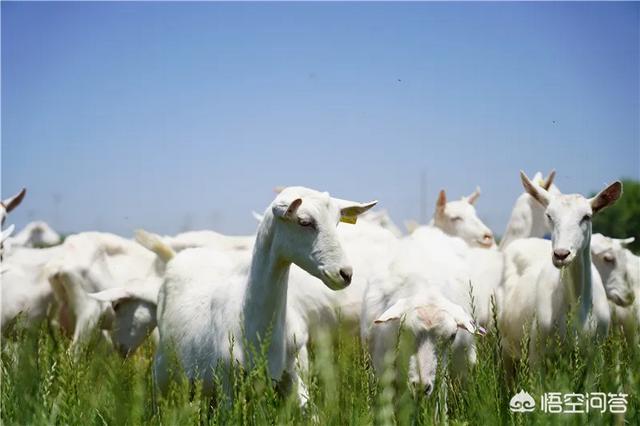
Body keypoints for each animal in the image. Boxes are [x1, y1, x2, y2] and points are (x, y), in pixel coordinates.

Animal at [153, 186, 378, 400]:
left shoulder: (294, 375)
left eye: (337, 222)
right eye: (304, 222)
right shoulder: (227, 383)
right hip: (162, 373)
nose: (345, 273)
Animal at [500, 171, 620, 362]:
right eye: (549, 215)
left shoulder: (596, 354)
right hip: (506, 346)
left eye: (587, 216)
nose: (561, 254)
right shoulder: (537, 353)